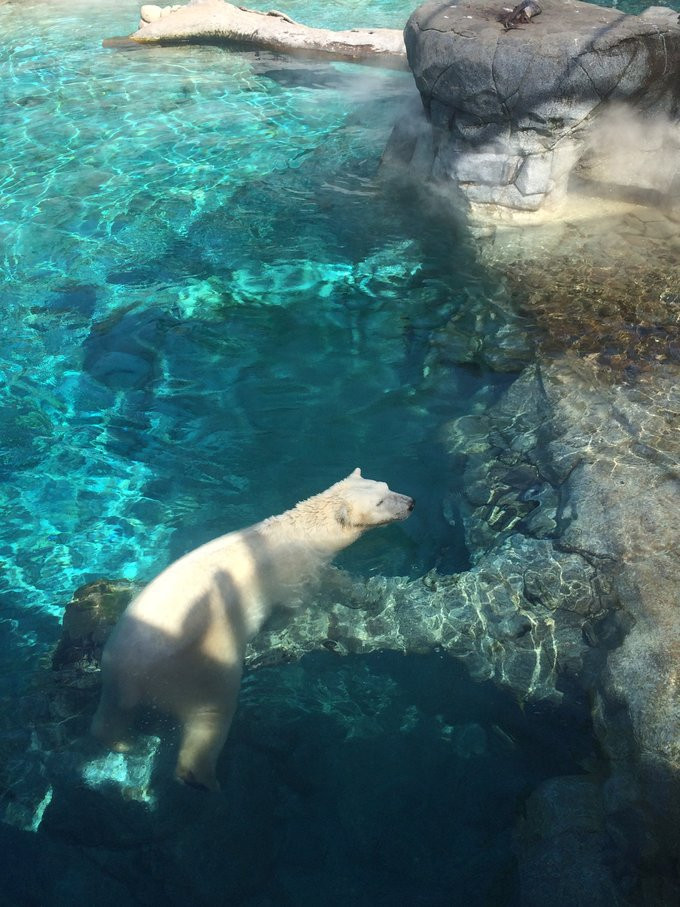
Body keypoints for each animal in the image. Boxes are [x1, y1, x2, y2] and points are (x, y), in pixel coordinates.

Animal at [91, 472, 414, 792]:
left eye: (386, 486)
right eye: (380, 501)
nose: (411, 503)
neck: (301, 533)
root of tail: (134, 677)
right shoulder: (299, 575)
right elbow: (309, 597)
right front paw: (365, 598)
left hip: (116, 660)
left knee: (110, 715)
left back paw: (123, 743)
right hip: (199, 665)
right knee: (210, 713)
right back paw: (202, 778)